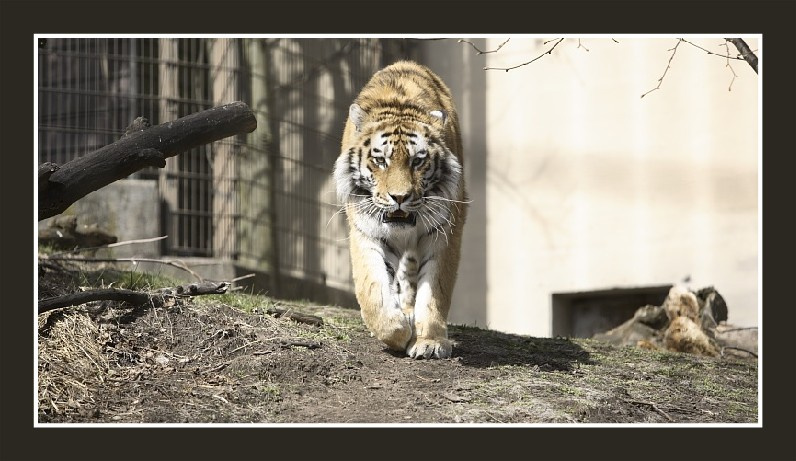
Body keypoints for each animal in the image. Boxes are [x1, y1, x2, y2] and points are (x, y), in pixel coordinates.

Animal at [333, 60, 467, 359]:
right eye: (380, 160)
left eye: (418, 161)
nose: (400, 197)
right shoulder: (367, 230)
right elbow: (373, 289)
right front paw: (397, 331)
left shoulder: (443, 231)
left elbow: (435, 290)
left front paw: (429, 342)